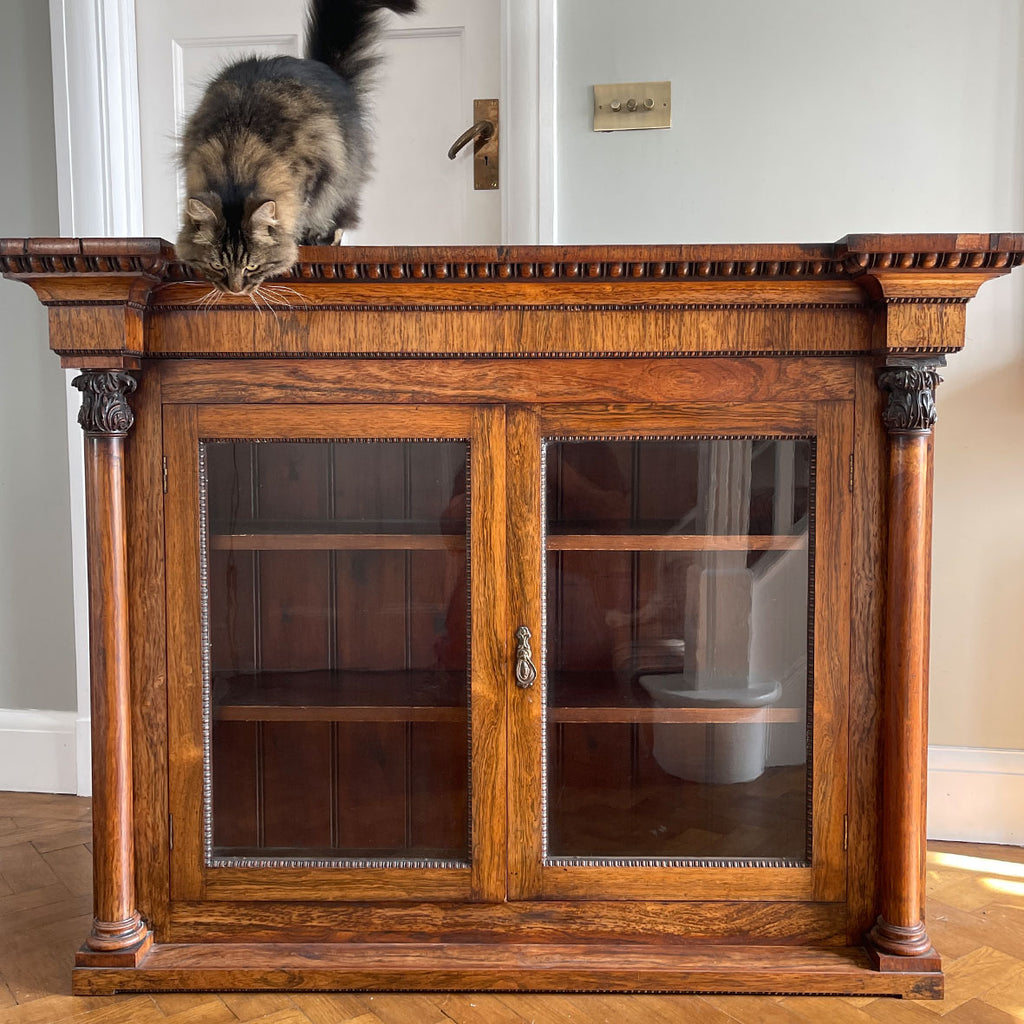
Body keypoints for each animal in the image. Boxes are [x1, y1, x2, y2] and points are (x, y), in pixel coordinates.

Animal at [178, 0, 417, 294]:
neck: (237, 154)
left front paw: (300, 237)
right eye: (217, 266)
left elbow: (302, 209)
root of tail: (324, 69)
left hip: (342, 176)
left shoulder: (315, 171)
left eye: (252, 266)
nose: (236, 290)